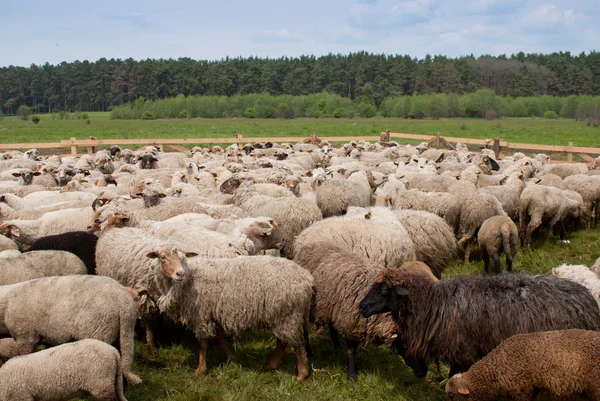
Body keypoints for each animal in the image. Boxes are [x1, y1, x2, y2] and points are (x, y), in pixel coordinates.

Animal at [148, 250, 314, 382]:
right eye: (163, 257)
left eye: (182, 258)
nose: (180, 274)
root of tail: (306, 278)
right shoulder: (212, 314)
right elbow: (219, 338)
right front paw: (230, 357)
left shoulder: (201, 314)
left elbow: (203, 343)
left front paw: (200, 370)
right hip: (281, 315)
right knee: (282, 342)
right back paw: (271, 366)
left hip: (289, 315)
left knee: (298, 345)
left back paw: (301, 375)